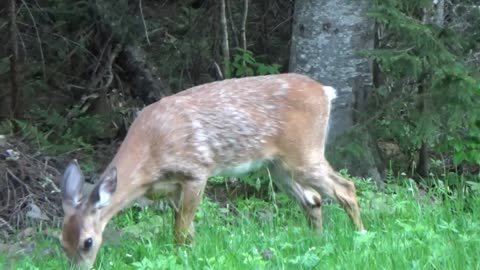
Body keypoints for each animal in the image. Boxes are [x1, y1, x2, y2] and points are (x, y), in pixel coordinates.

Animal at [58, 73, 366, 268]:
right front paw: (192, 256)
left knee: (346, 187)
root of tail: (325, 91)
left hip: (304, 152)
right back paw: (316, 241)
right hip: (278, 166)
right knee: (313, 199)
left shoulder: (196, 171)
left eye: (87, 242)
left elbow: (180, 231)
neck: (149, 159)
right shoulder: (171, 190)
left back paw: (361, 236)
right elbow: (188, 231)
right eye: (62, 242)